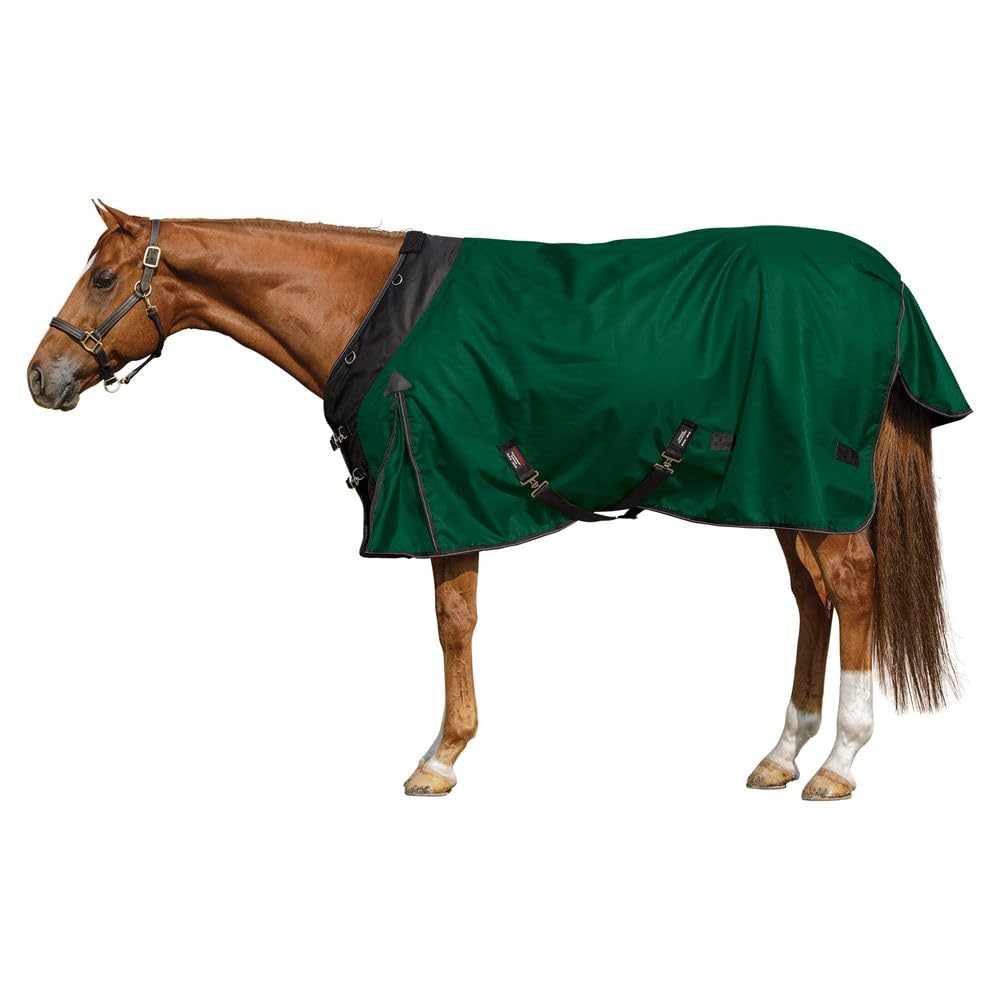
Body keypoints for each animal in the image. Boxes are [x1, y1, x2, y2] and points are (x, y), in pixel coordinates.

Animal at [27, 200, 967, 800]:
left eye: (103, 279)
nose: (42, 376)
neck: (374, 313)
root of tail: (883, 278)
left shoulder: (439, 491)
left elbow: (452, 623)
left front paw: (440, 758)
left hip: (809, 477)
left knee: (852, 588)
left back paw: (839, 763)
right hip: (783, 484)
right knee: (813, 598)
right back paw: (782, 754)